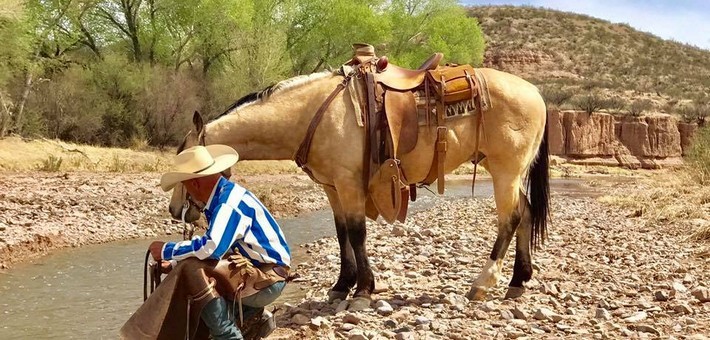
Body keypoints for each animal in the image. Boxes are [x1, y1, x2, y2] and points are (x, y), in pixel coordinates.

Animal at [167, 49, 552, 310]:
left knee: (510, 219)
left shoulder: (349, 183)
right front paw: (342, 285)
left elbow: (356, 234)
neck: (313, 114)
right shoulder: (332, 188)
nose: (174, 211)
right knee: (526, 213)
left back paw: (483, 284)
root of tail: (536, 93)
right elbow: (341, 235)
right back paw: (518, 281)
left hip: (505, 171)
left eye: (188, 165)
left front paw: (364, 290)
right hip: (511, 173)